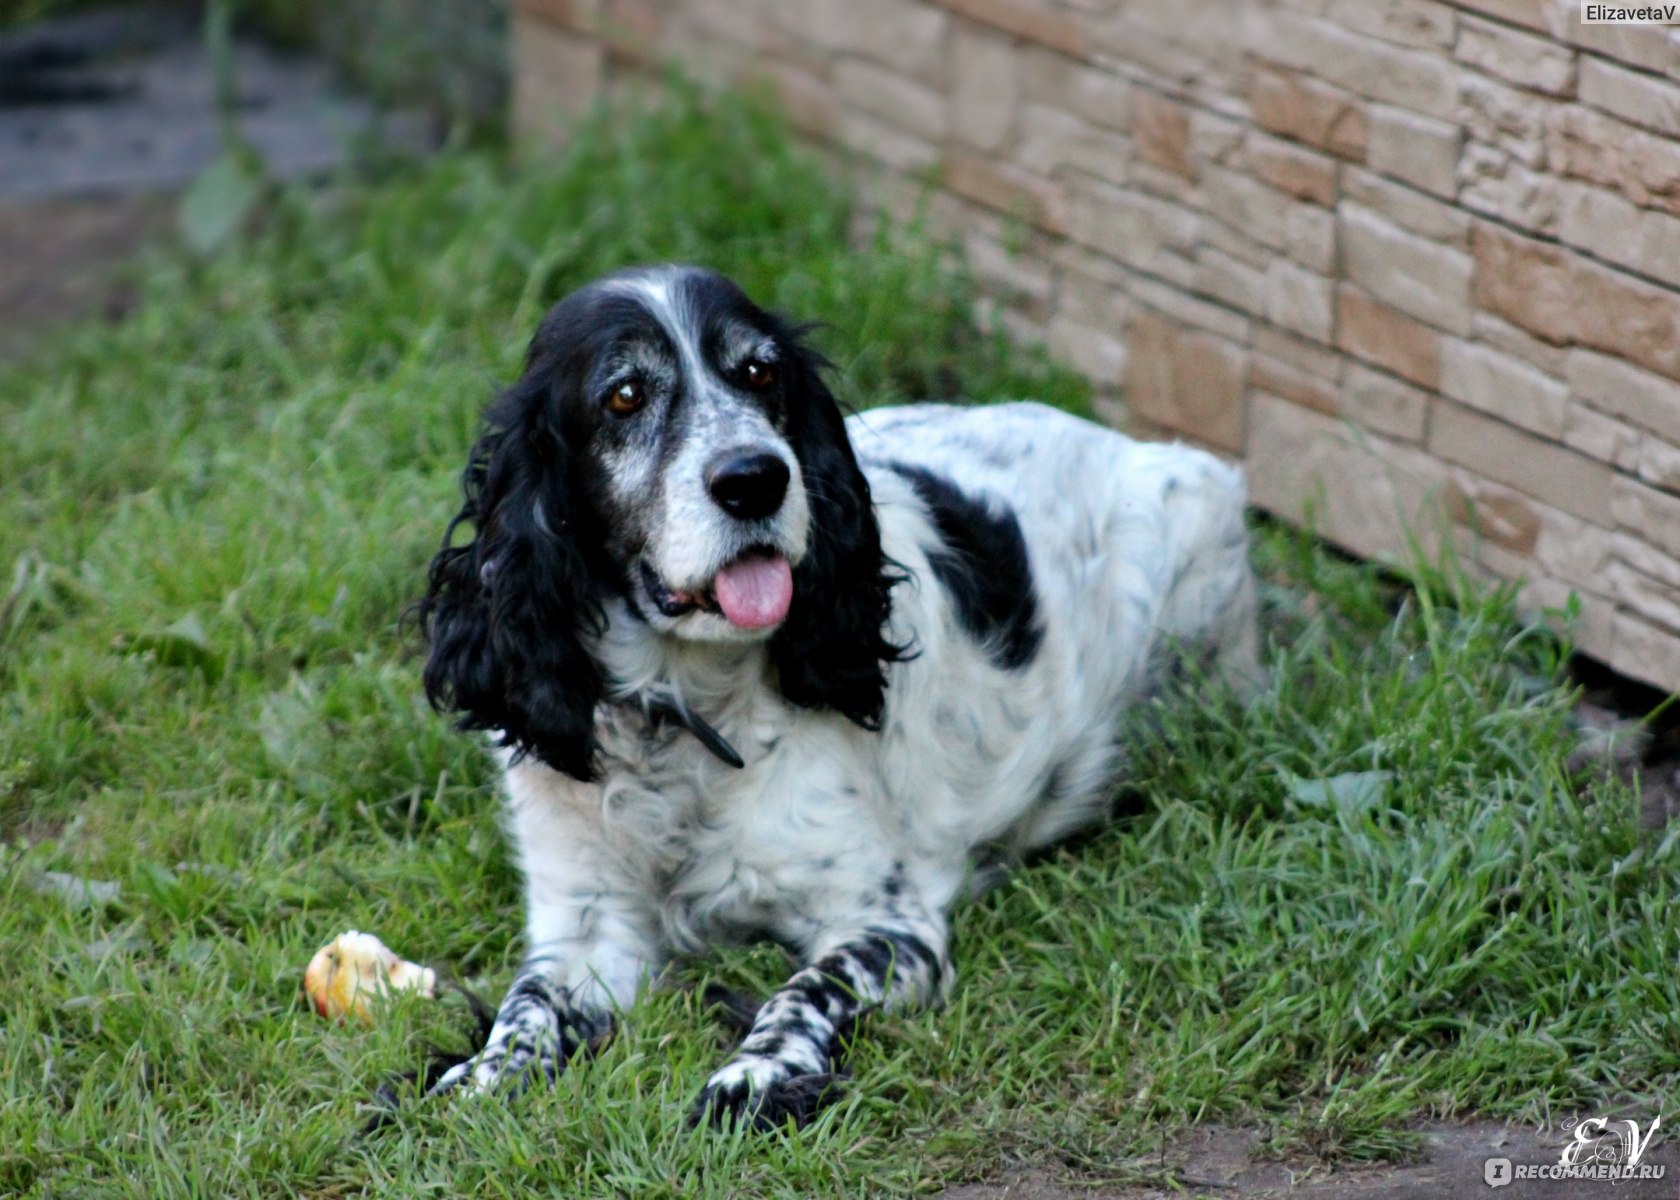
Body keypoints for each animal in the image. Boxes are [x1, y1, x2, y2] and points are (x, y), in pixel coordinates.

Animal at [416, 262, 1263, 1122]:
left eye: (760, 372)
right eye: (624, 395)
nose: (754, 479)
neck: (686, 715)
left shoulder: (886, 921)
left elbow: (805, 987)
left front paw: (756, 1075)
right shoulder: (586, 924)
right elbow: (528, 1002)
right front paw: (483, 1074)